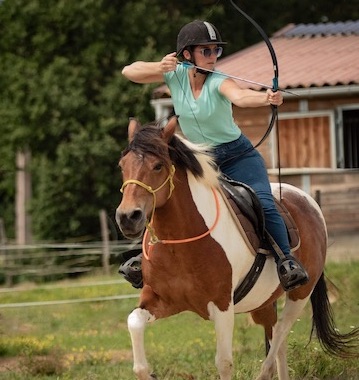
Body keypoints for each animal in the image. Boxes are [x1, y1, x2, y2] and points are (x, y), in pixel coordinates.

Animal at [116, 116, 359, 380]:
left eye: (158, 166)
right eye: (122, 166)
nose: (128, 217)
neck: (179, 244)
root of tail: (308, 201)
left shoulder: (222, 307)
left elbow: (224, 363)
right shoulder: (161, 299)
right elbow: (134, 330)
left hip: (299, 295)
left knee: (279, 338)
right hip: (263, 304)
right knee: (279, 341)